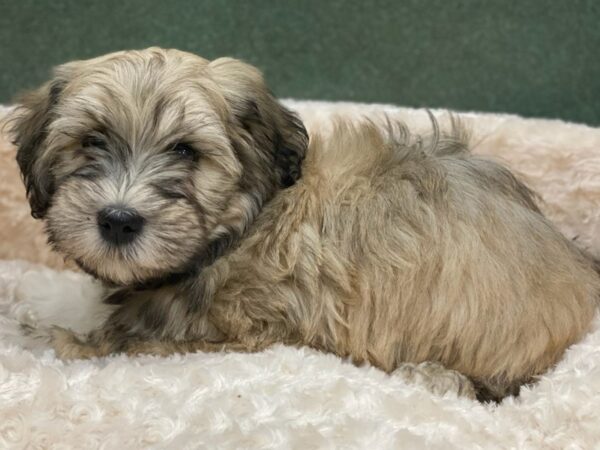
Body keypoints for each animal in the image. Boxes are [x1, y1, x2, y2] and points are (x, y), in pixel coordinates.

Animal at [5, 48, 600, 400]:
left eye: (185, 151)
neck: (240, 227)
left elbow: (121, 346)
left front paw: (58, 340)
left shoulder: (237, 335)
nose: (118, 220)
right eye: (91, 141)